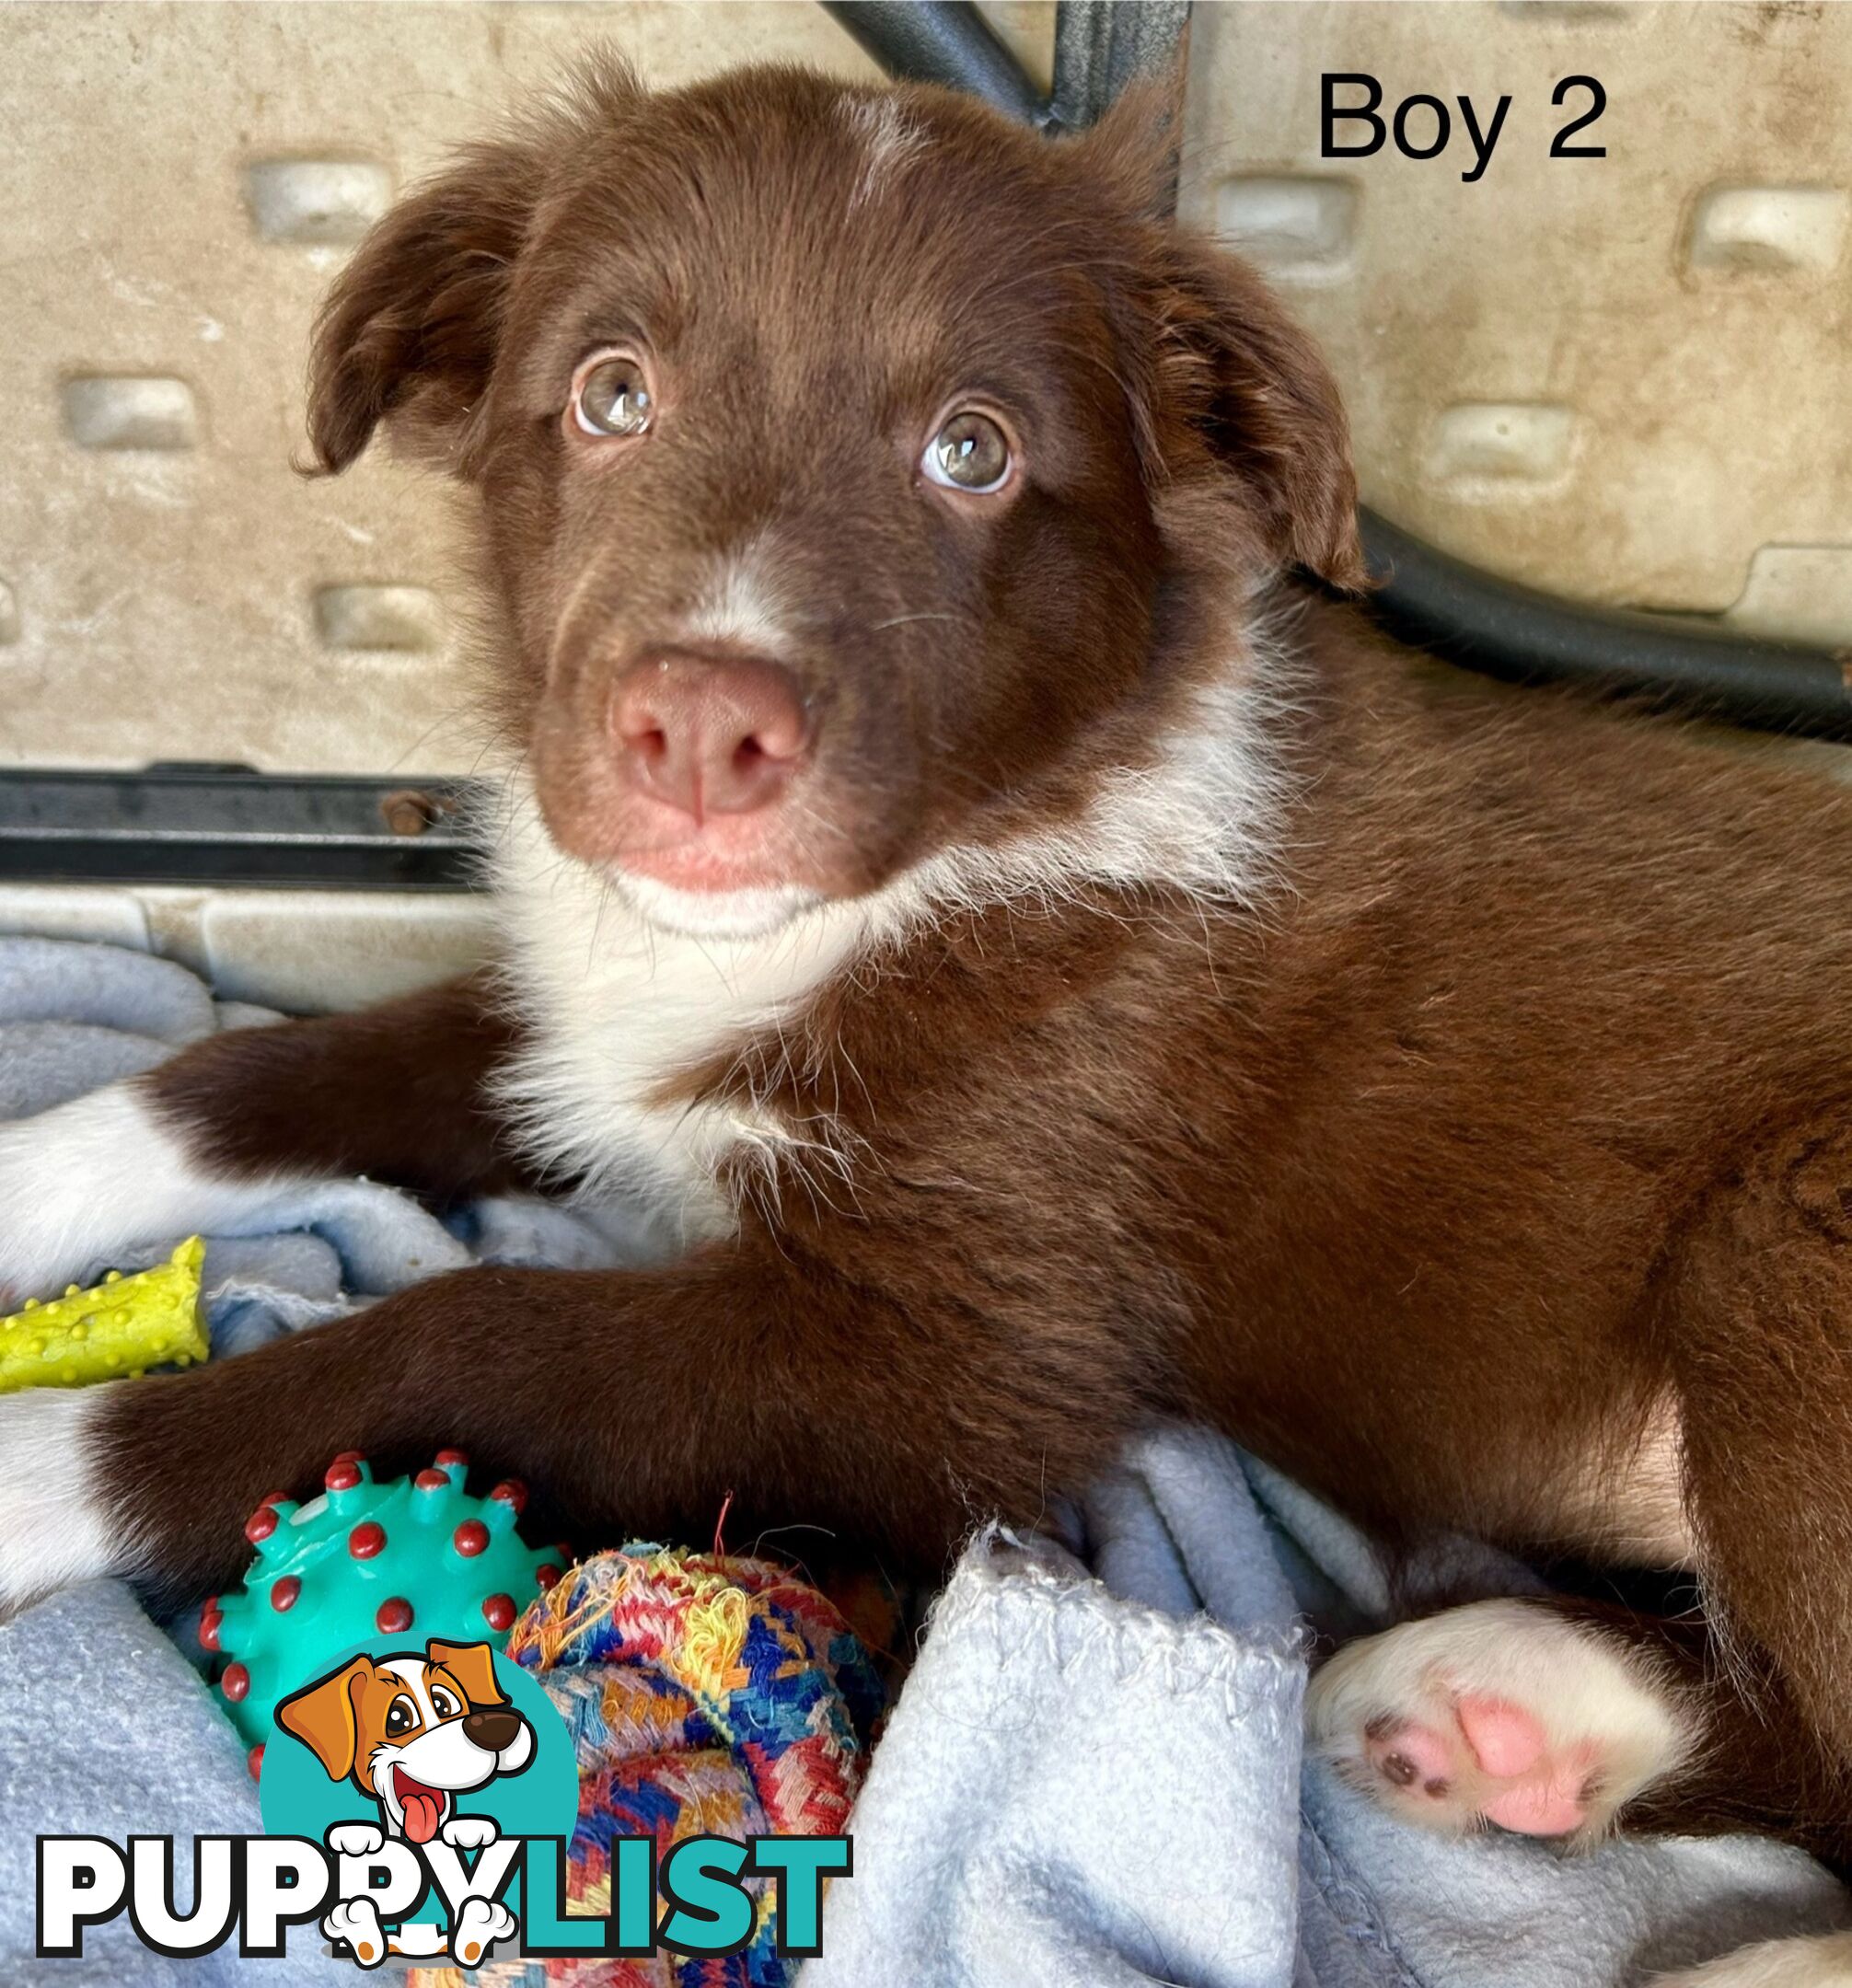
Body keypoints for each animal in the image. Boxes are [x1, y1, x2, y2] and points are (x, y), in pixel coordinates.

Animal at [3, 54, 1852, 1980]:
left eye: (972, 450)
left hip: (1785, 1243)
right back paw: (1503, 1710)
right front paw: (26, 1190)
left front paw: (38, 1470)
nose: (699, 732)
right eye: (611, 394)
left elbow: (462, 1333)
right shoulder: (593, 1027)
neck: (930, 869)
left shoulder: (955, 1352)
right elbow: (254, 1073)